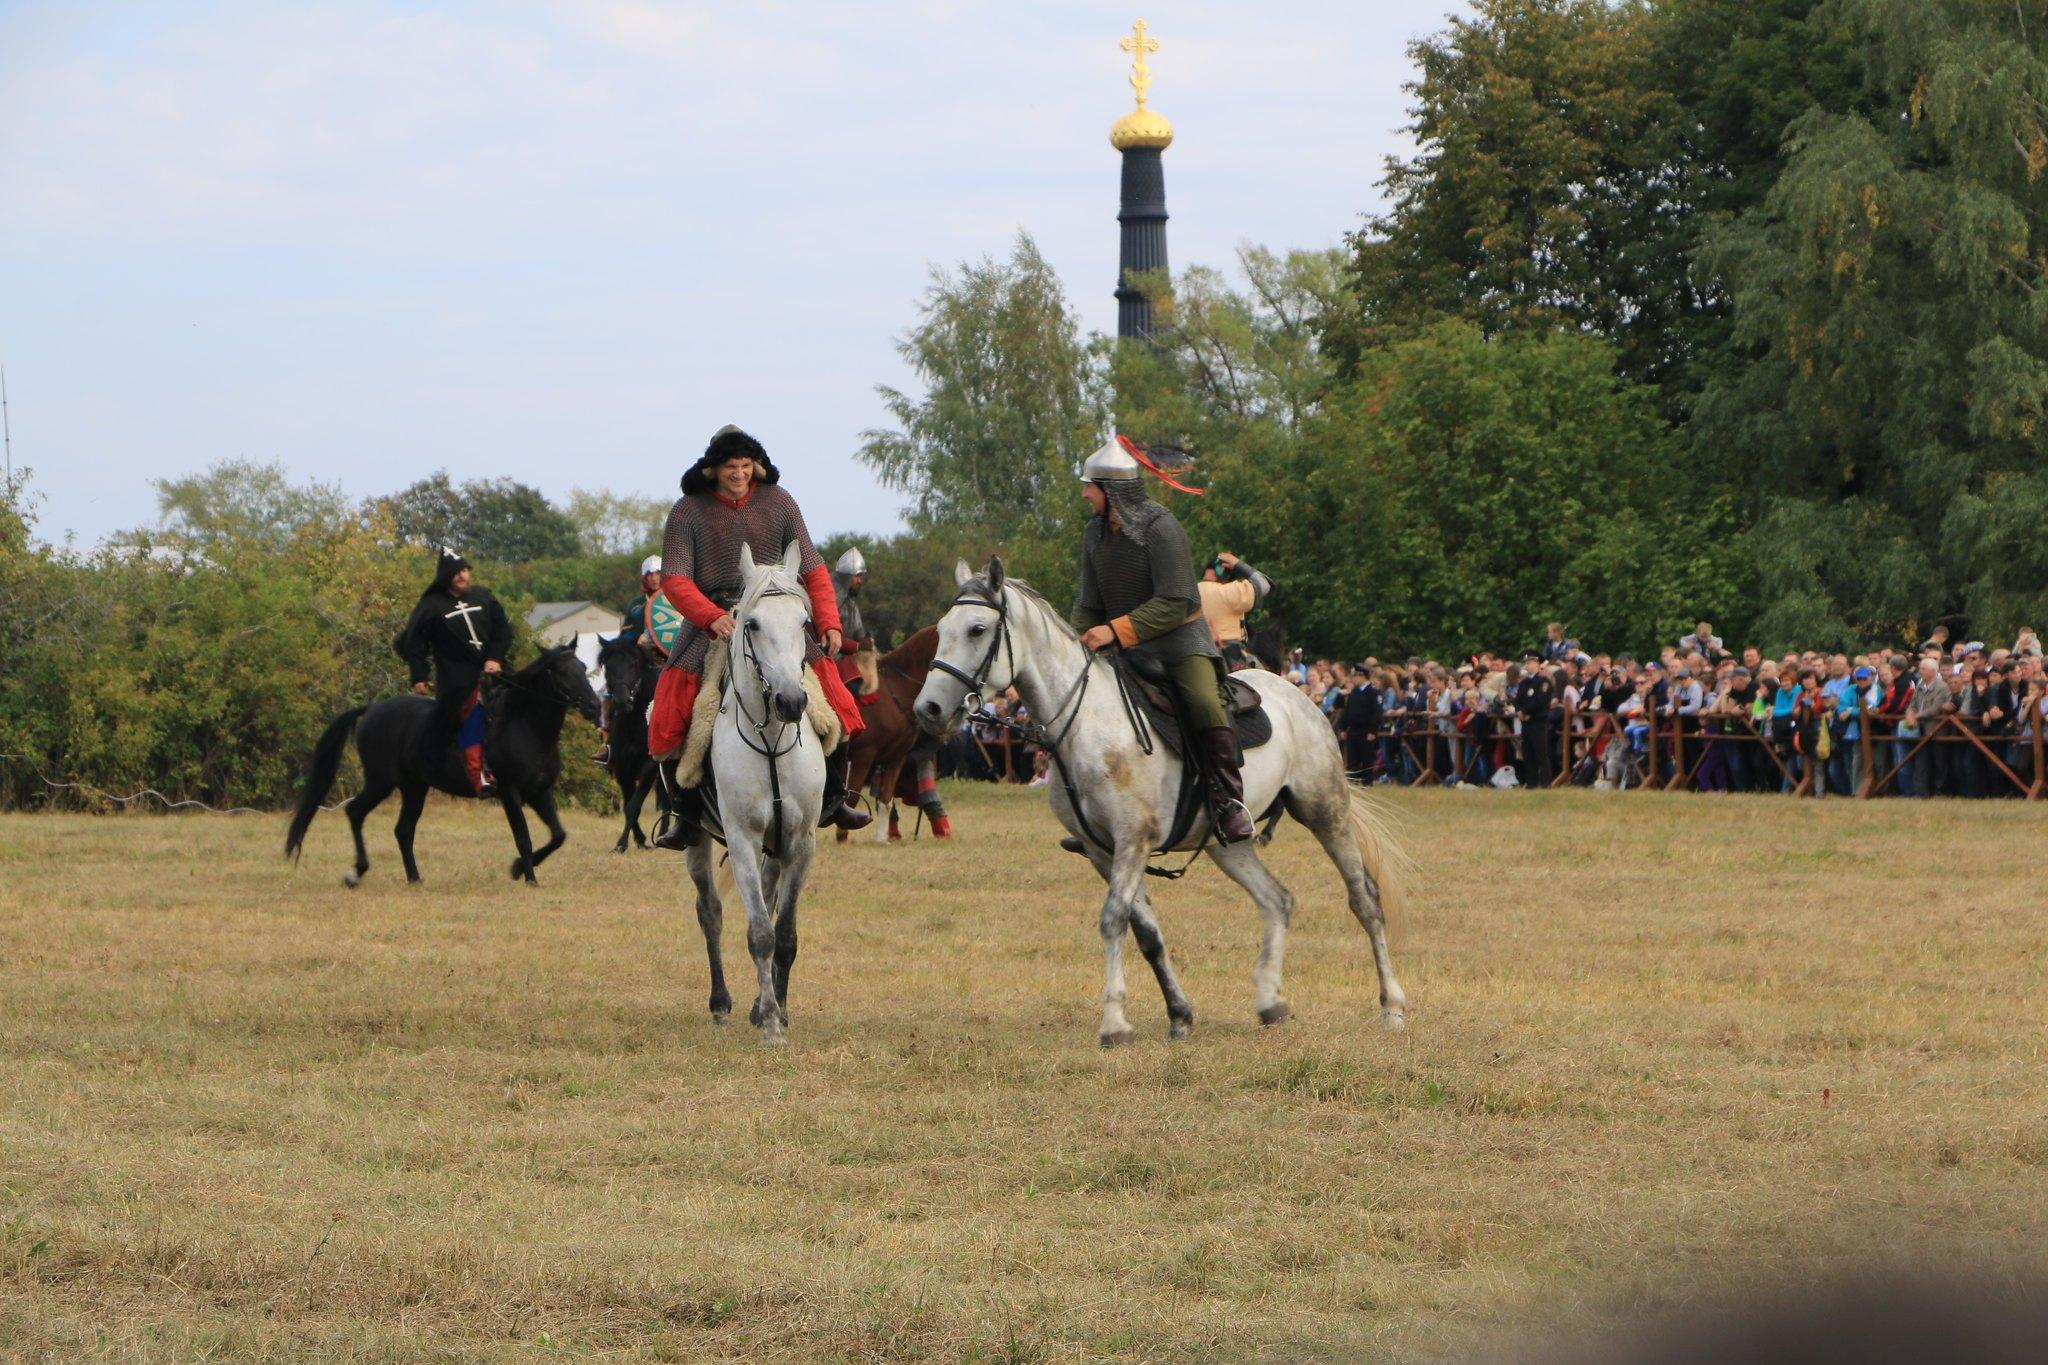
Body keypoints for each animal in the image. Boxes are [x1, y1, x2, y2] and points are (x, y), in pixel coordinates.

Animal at [284, 650, 598, 892]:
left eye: (583, 667)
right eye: (563, 673)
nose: (594, 706)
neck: (524, 725)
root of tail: (372, 709)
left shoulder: (539, 792)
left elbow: (558, 835)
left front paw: (520, 869)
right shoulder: (510, 793)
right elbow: (524, 837)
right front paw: (529, 877)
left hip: (414, 787)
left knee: (403, 830)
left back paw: (414, 878)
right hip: (381, 781)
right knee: (356, 812)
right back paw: (356, 873)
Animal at [598, 634, 667, 847]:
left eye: (633, 664)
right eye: (608, 665)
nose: (622, 700)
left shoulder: (649, 767)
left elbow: (633, 806)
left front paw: (622, 843)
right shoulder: (621, 768)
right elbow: (627, 804)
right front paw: (639, 839)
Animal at [679, 540, 823, 1047]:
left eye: (804, 622)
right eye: (752, 624)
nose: (792, 702)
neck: (772, 741)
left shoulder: (800, 842)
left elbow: (785, 935)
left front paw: (776, 1011)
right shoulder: (741, 838)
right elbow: (760, 933)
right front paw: (773, 1029)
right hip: (697, 840)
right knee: (710, 912)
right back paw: (722, 1004)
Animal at [839, 626, 950, 843]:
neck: (896, 690)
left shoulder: (896, 757)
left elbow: (885, 799)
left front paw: (882, 839)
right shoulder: (863, 755)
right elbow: (852, 797)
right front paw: (842, 837)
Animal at [917, 556, 1409, 1047]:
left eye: (978, 629)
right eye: (942, 629)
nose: (928, 710)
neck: (1087, 722)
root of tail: (1295, 695)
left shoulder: (1132, 841)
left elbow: (1113, 920)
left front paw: (1114, 1023)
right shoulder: (1102, 850)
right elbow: (1147, 933)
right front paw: (1179, 1014)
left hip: (1325, 811)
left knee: (1364, 899)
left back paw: (1392, 1005)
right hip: (1225, 843)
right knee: (1277, 900)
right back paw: (1271, 1001)